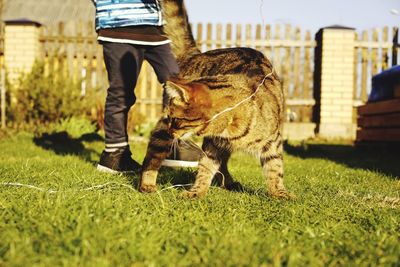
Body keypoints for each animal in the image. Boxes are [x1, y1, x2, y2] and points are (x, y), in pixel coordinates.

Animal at [141, 0, 294, 199]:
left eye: (177, 120)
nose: (171, 129)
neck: (232, 130)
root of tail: (196, 54)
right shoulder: (212, 145)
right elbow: (205, 168)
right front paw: (197, 191)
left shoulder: (273, 141)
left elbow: (275, 168)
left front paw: (279, 192)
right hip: (163, 131)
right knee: (153, 151)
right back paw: (147, 184)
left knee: (224, 164)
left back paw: (228, 182)